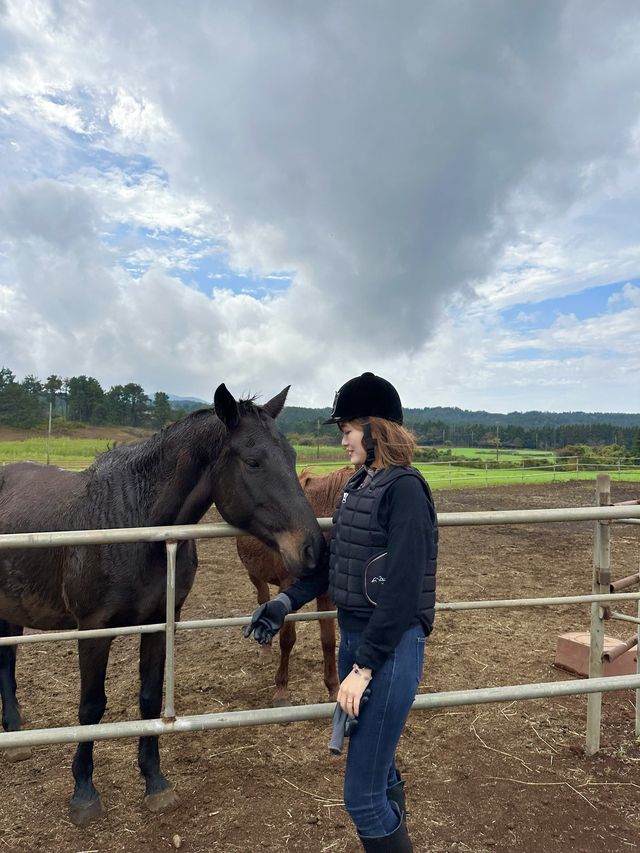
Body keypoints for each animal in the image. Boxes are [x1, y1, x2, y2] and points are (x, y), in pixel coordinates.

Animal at [0, 386, 324, 824]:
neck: (133, 522)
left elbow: (150, 698)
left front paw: (155, 781)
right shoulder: (94, 628)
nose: (313, 549)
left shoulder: (159, 620)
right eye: (253, 461)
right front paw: (83, 791)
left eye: (291, 457)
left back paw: (15, 733)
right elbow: (90, 707)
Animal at [238, 466, 356, 704]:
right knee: (262, 598)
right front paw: (281, 690)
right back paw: (265, 651)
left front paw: (333, 688)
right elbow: (287, 639)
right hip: (254, 574)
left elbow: (328, 640)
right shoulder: (287, 588)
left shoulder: (324, 594)